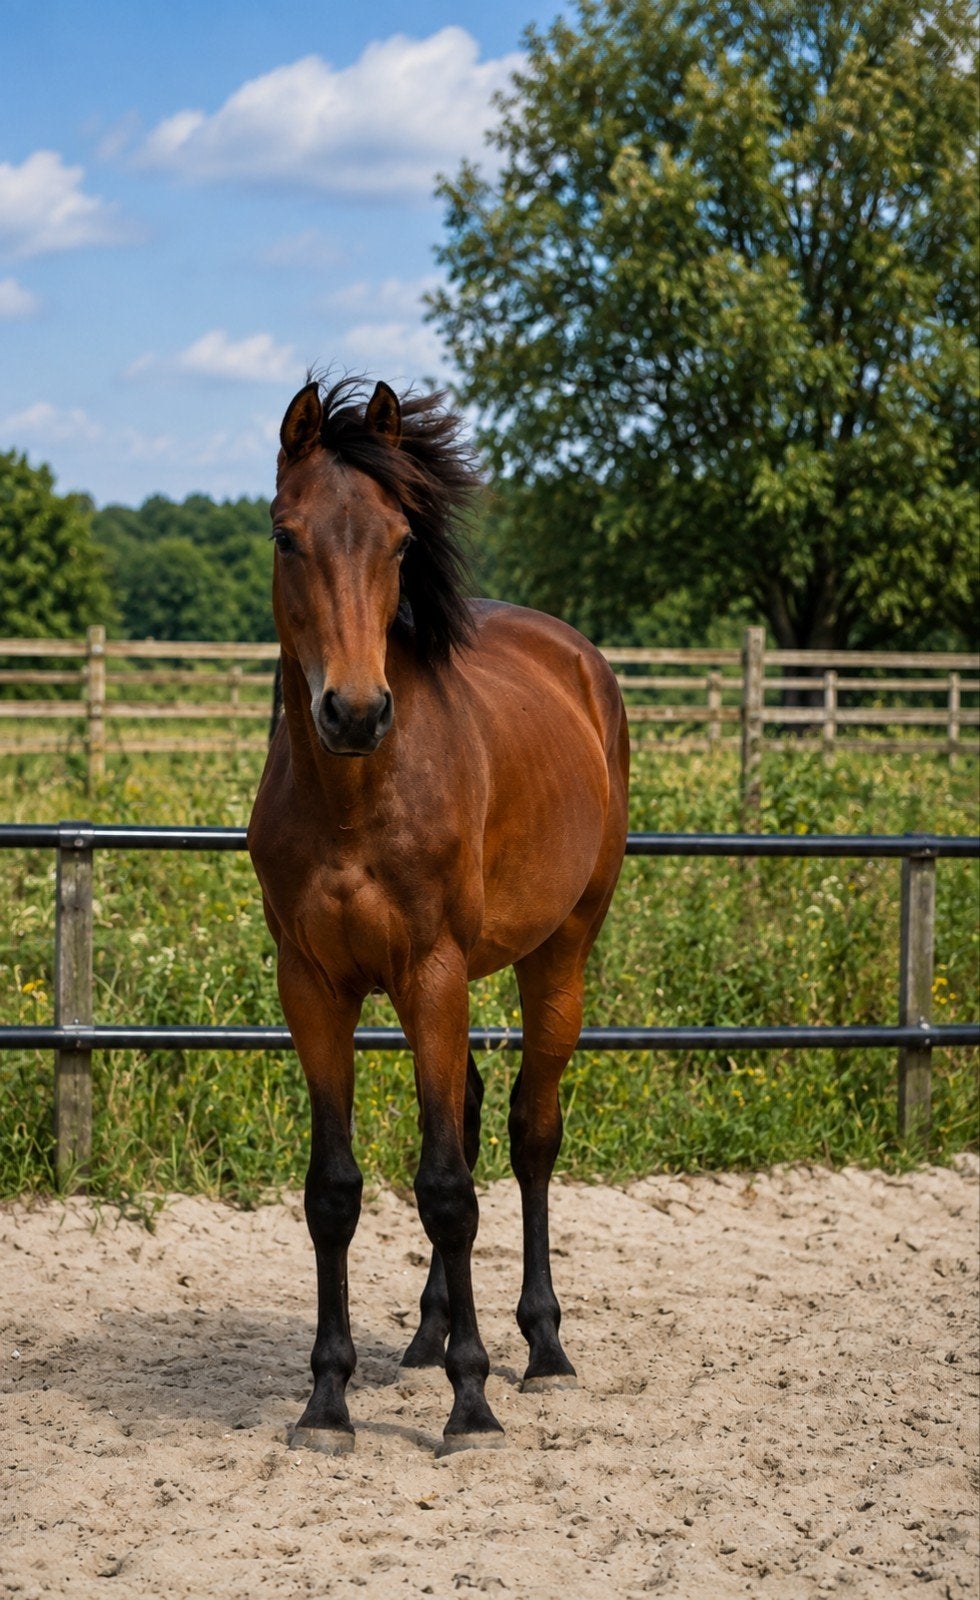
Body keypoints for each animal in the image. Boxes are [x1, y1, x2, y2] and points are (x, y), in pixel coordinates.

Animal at [248, 376, 629, 1457]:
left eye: (400, 540)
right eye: (286, 535)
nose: (353, 711)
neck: (356, 798)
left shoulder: (431, 973)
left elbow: (451, 1190)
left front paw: (472, 1402)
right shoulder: (313, 988)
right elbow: (335, 1190)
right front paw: (327, 1400)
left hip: (558, 956)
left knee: (529, 1133)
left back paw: (539, 1347)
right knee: (463, 1115)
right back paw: (429, 1333)